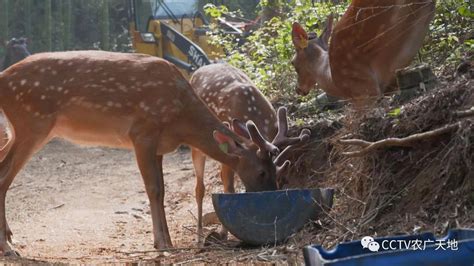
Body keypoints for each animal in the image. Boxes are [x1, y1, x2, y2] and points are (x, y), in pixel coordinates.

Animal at [0, 50, 286, 256]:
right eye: (262, 171)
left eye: (276, 170)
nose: (272, 195)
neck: (180, 119)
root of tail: (3, 78)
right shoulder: (143, 133)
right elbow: (154, 189)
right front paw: (163, 243)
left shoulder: (159, 146)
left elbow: (161, 190)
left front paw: (165, 240)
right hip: (32, 122)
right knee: (5, 175)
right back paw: (8, 247)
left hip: (22, 129)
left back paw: (10, 238)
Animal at [189, 62, 312, 245]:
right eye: (261, 173)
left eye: (278, 174)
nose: (270, 197)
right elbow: (228, 189)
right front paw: (223, 233)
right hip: (197, 146)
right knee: (199, 188)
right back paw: (198, 236)